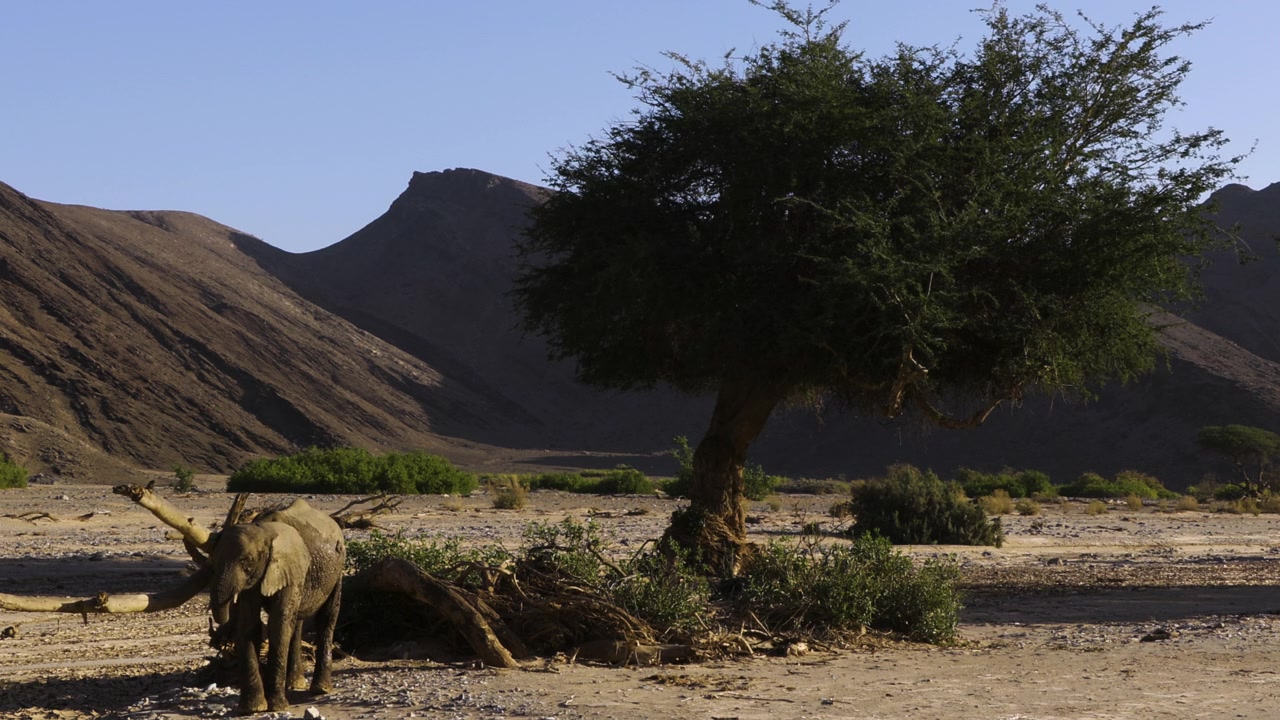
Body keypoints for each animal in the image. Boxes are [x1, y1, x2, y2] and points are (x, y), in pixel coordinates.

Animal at [208, 499, 345, 714]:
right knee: (296, 621)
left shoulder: (289, 569)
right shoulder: (254, 581)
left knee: (327, 617)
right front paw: (253, 708)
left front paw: (277, 706)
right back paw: (295, 684)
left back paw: (321, 689)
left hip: (338, 568)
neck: (264, 530)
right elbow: (249, 625)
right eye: (214, 561)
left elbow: (278, 626)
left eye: (246, 561)